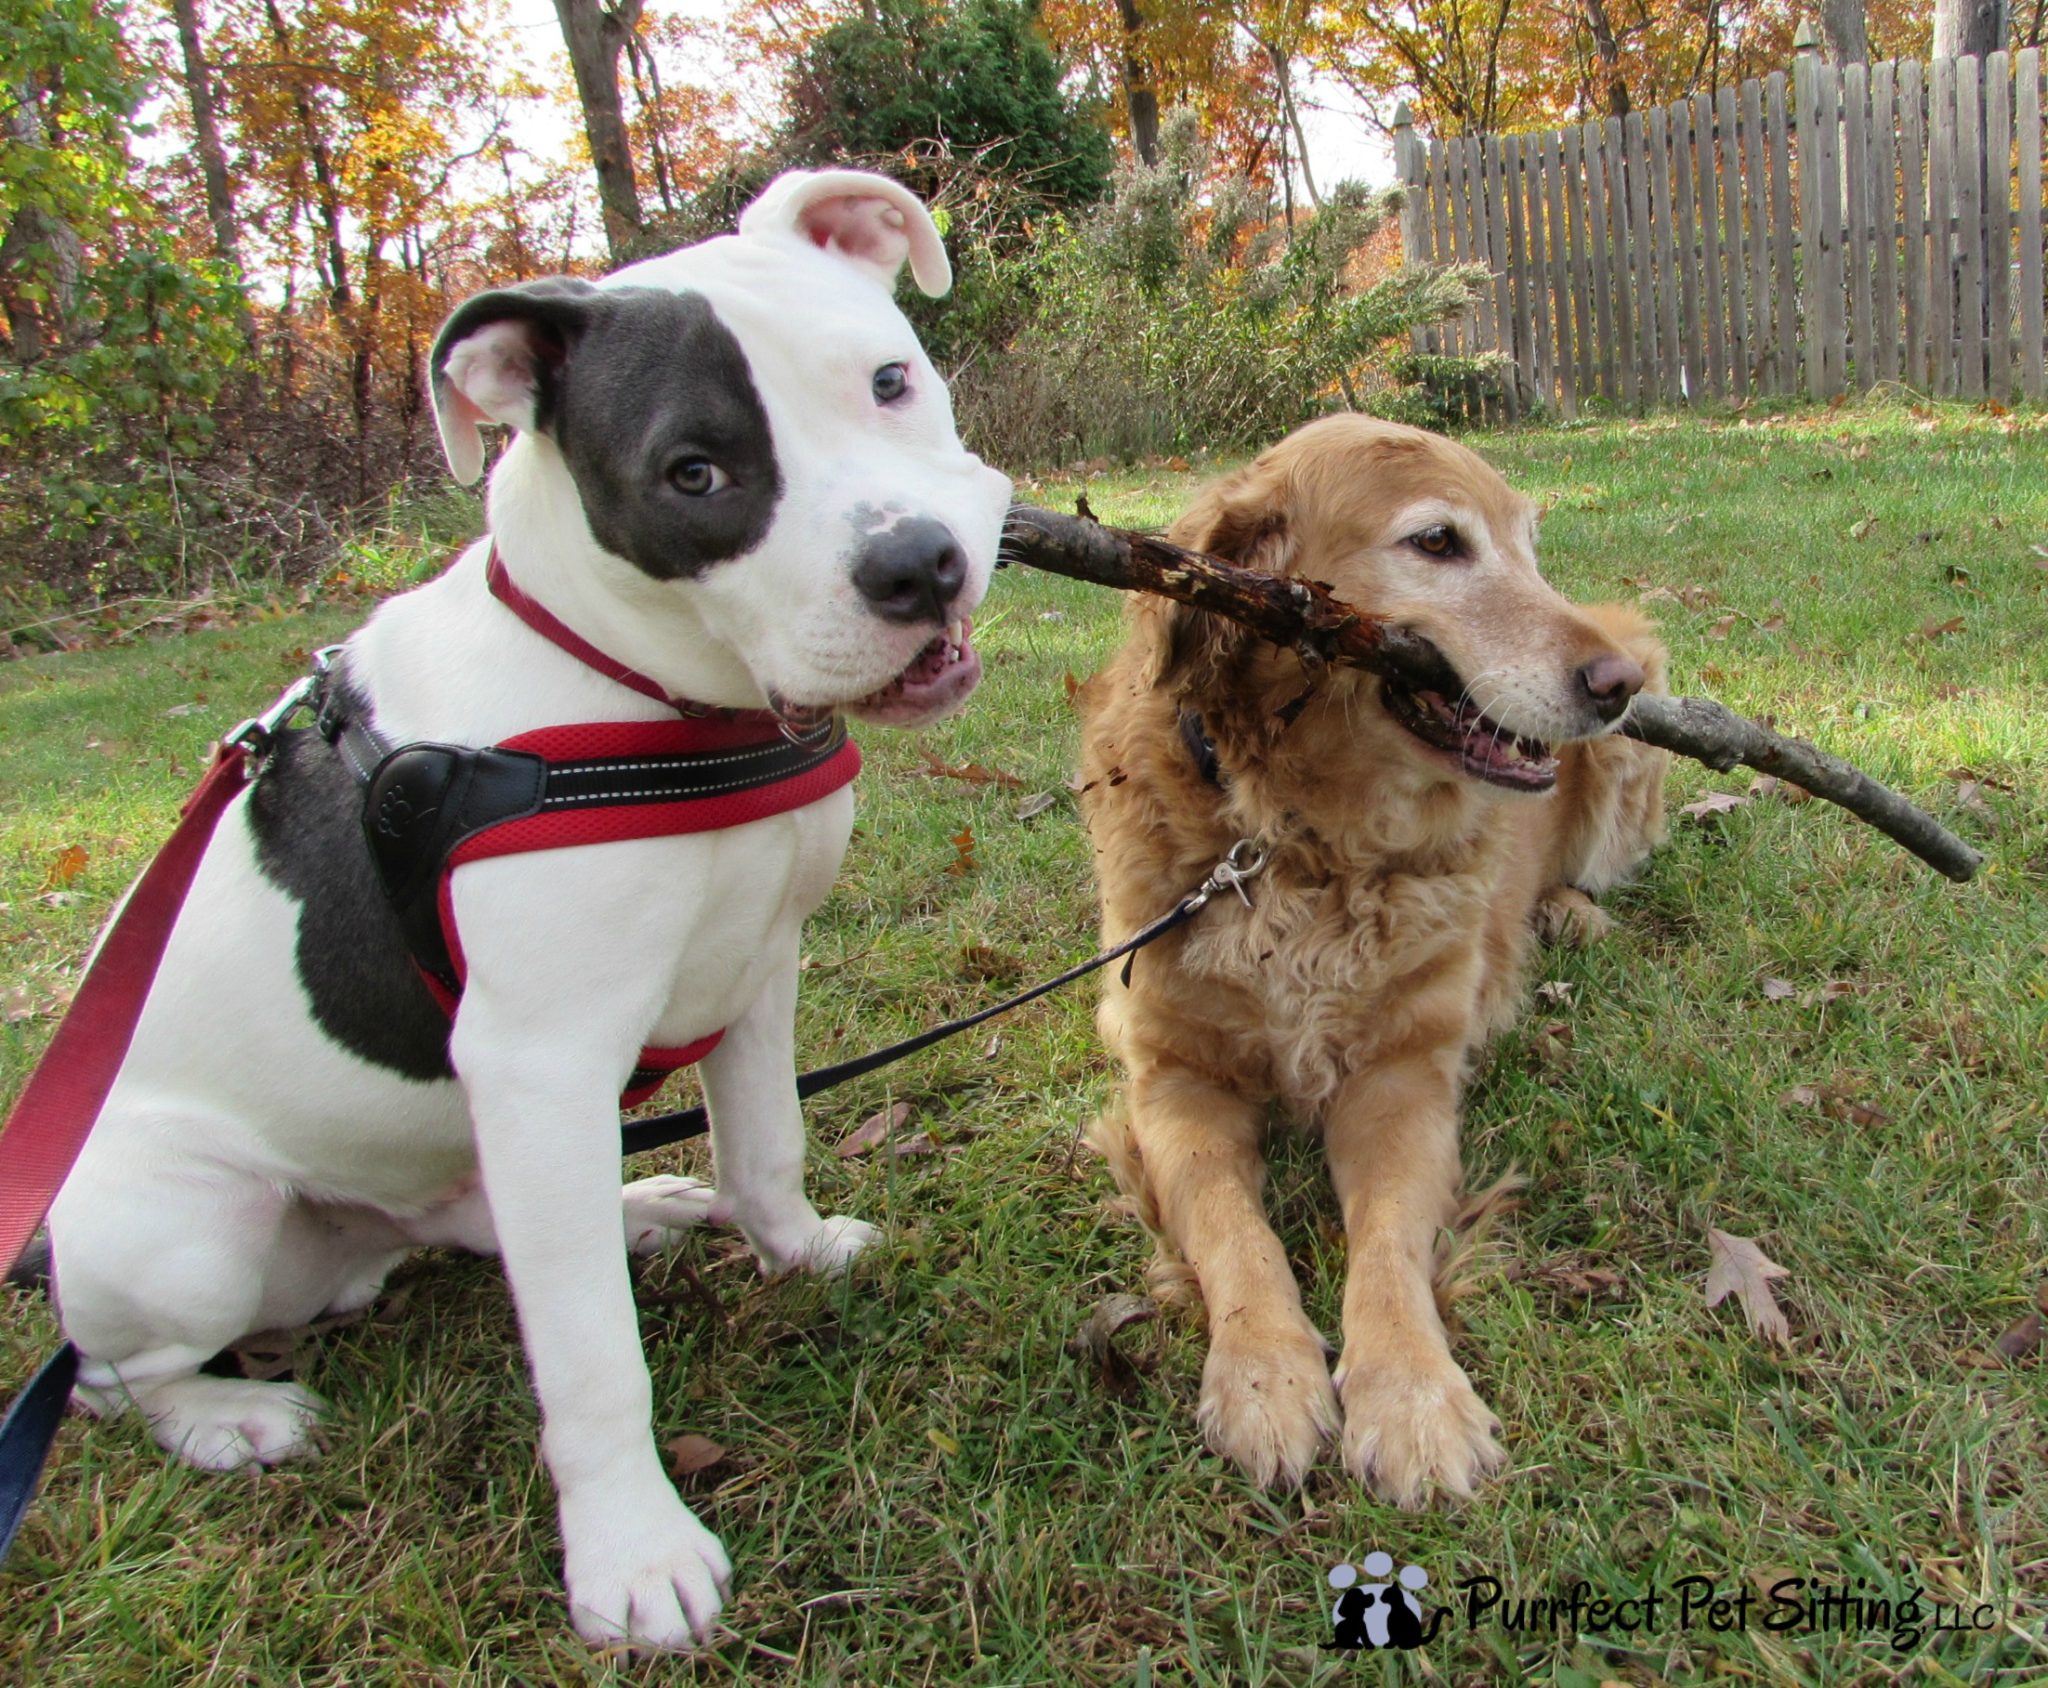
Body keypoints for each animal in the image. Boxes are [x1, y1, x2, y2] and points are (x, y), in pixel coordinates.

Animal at [41, 171, 1007, 1647]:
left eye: (889, 381)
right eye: (693, 473)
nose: (920, 566)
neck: (651, 694)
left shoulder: (760, 965)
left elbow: (766, 1145)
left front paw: (790, 1248)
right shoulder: (539, 1063)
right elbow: (593, 1357)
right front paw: (631, 1552)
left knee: (489, 1223)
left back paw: (641, 1205)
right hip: (187, 1225)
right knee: (110, 1373)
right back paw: (225, 1417)